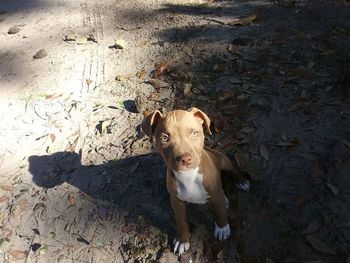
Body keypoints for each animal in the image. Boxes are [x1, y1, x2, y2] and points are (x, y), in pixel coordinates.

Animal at [141, 108, 250, 256]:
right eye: (164, 138)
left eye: (195, 133)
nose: (185, 159)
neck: (189, 175)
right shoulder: (176, 201)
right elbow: (181, 221)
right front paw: (183, 241)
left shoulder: (216, 192)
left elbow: (220, 212)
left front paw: (222, 228)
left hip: (223, 160)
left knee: (231, 170)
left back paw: (241, 182)